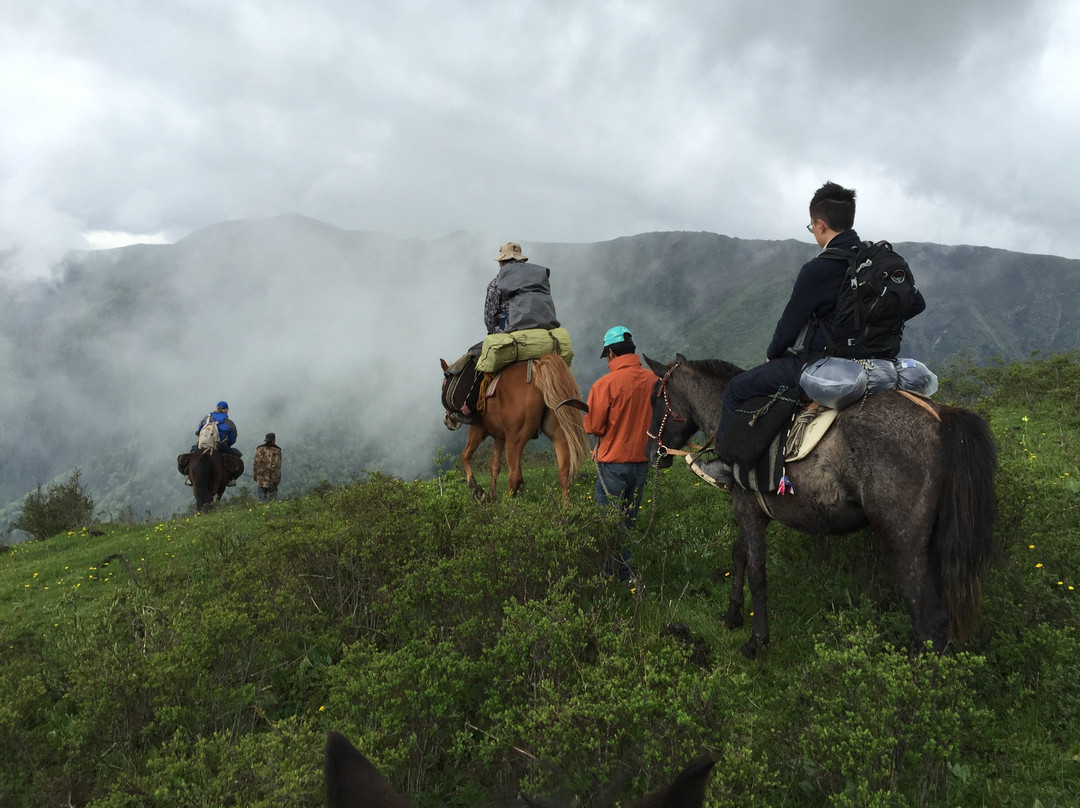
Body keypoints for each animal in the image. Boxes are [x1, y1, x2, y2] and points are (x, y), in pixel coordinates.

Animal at [440, 354, 591, 505]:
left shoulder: (478, 429)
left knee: (515, 476)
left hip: (515, 438)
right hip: (558, 432)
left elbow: (465, 455)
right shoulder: (500, 437)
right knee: (564, 472)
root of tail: (538, 370)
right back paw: (566, 507)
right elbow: (494, 465)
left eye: (443, 386)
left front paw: (477, 491)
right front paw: (491, 496)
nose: (447, 420)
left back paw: (504, 504)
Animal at [643, 354, 997, 656]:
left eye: (655, 399)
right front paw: (732, 615)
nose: (651, 453)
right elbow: (739, 554)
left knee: (930, 619)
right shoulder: (753, 509)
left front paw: (757, 642)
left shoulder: (747, 509)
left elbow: (757, 571)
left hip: (903, 540)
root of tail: (941, 416)